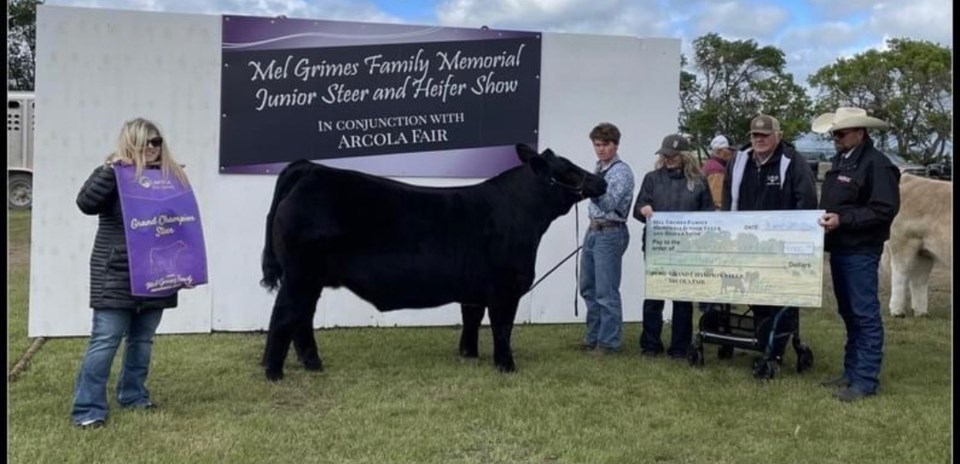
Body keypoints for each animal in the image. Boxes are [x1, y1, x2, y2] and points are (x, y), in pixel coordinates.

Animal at [884, 172, 952, 318]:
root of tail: (910, 178)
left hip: (924, 251)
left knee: (919, 279)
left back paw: (921, 312)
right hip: (903, 242)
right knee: (900, 274)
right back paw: (897, 311)